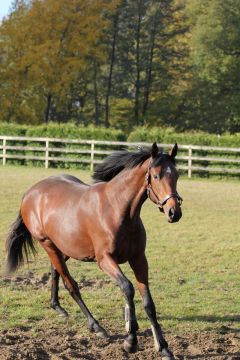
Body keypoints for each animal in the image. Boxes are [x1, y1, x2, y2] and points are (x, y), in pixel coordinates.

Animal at [5, 142, 182, 358]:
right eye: (156, 176)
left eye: (176, 175)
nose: (174, 213)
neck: (117, 209)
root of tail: (31, 192)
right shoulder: (105, 260)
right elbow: (127, 289)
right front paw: (130, 342)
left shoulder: (139, 259)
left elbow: (148, 302)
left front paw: (164, 348)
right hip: (48, 244)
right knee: (71, 284)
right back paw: (97, 327)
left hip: (64, 248)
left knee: (55, 271)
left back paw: (58, 307)